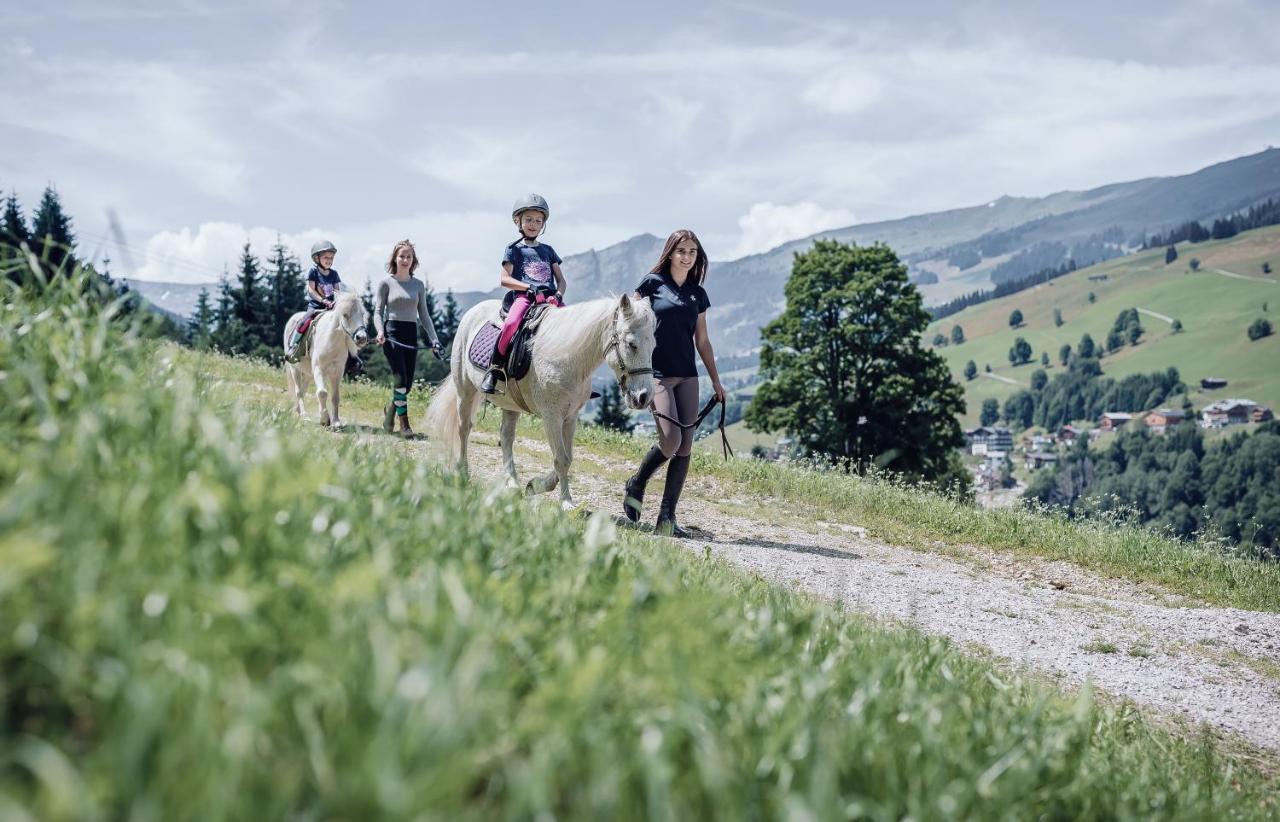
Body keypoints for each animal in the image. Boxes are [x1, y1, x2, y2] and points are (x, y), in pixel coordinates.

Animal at [285, 289, 371, 430]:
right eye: (345, 315)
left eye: (362, 314)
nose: (361, 337)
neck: (331, 341)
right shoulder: (319, 369)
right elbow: (322, 393)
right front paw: (325, 419)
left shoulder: (337, 372)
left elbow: (335, 396)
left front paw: (336, 421)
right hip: (295, 369)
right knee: (298, 392)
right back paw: (303, 415)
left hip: (308, 373)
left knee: (303, 390)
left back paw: (298, 411)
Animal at [424, 288, 655, 507]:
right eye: (632, 344)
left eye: (653, 346)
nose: (644, 397)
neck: (567, 357)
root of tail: (472, 312)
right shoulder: (551, 416)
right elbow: (561, 459)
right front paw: (566, 503)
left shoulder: (570, 417)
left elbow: (568, 457)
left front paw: (534, 485)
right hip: (465, 390)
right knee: (464, 428)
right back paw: (462, 473)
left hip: (510, 405)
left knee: (506, 437)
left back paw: (512, 482)